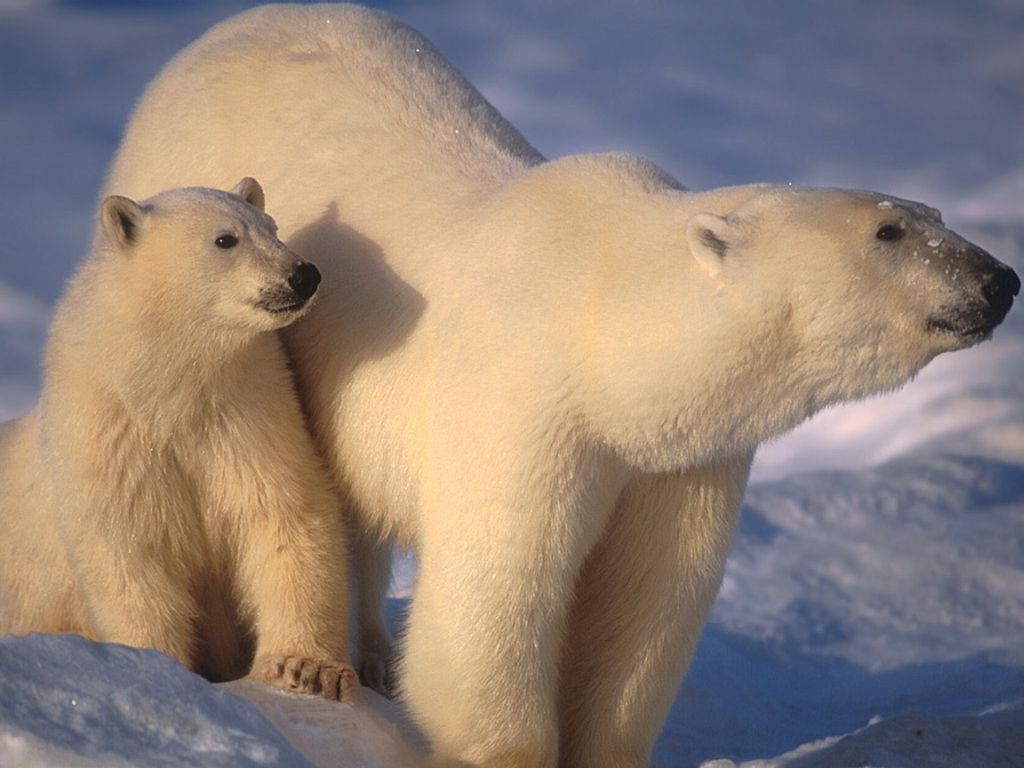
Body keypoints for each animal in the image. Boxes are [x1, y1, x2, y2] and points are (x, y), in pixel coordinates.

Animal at [0, 179, 360, 704]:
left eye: (271, 226)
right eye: (225, 239)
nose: (303, 274)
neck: (169, 396)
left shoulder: (247, 418)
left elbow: (285, 516)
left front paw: (309, 669)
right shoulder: (110, 440)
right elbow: (130, 557)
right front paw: (159, 669)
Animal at [101, 3, 1015, 765]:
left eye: (935, 213)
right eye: (889, 231)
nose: (999, 278)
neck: (604, 322)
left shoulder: (678, 458)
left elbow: (648, 601)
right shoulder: (520, 396)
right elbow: (501, 589)